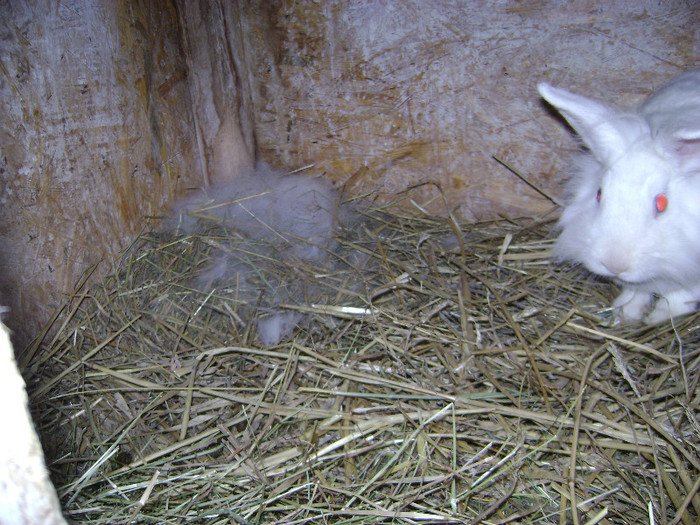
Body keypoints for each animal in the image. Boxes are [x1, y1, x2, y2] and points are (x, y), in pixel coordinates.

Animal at [540, 69, 700, 324]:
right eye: (599, 194)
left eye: (662, 203)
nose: (615, 264)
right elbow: (635, 291)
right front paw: (625, 312)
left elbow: (681, 295)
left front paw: (660, 317)